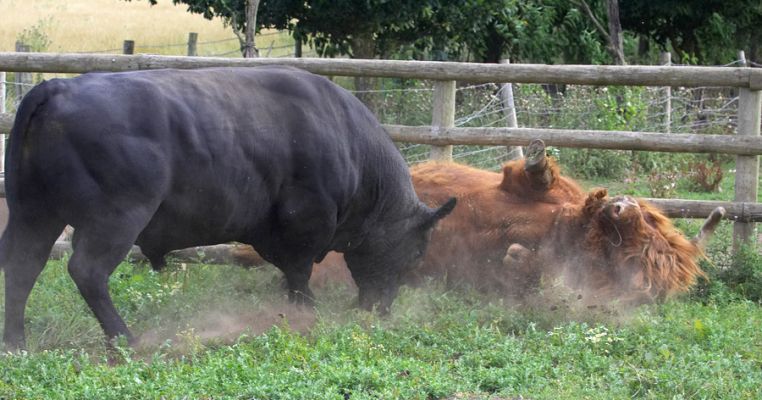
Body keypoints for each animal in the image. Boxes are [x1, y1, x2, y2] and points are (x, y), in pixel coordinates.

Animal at [0, 66, 455, 350]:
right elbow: (299, 275)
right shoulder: (306, 222)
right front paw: (307, 315)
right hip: (113, 219)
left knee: (22, 267)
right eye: (417, 251)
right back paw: (125, 338)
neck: (350, 143)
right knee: (87, 271)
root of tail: (56, 87)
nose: (380, 309)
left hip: (33, 213)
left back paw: (15, 342)